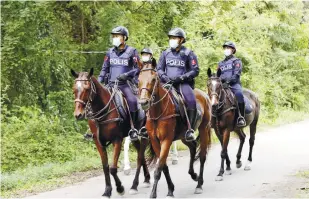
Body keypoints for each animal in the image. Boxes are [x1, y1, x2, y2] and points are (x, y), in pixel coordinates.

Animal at [70, 68, 152, 197]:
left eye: (87, 88)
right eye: (74, 89)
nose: (78, 114)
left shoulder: (116, 140)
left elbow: (113, 168)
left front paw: (120, 188)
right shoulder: (98, 142)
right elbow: (105, 167)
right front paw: (107, 190)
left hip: (144, 133)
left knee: (142, 154)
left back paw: (137, 184)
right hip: (134, 137)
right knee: (141, 153)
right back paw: (146, 178)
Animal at [138, 63, 212, 197]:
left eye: (153, 79)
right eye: (138, 80)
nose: (143, 102)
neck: (158, 112)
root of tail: (205, 96)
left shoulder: (166, 140)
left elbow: (159, 168)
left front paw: (153, 194)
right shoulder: (155, 141)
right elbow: (163, 166)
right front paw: (170, 189)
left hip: (204, 129)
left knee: (202, 156)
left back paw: (199, 184)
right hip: (183, 136)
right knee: (193, 146)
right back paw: (193, 174)